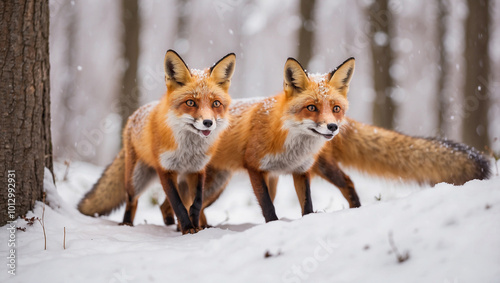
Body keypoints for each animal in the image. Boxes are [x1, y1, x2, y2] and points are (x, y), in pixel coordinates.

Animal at [76, 50, 236, 235]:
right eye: (190, 102)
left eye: (216, 103)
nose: (208, 122)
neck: (188, 150)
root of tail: (134, 115)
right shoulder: (165, 169)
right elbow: (178, 205)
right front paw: (188, 228)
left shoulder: (197, 170)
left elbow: (195, 204)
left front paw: (195, 228)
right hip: (136, 178)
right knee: (132, 201)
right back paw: (127, 224)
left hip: (182, 181)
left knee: (168, 205)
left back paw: (174, 224)